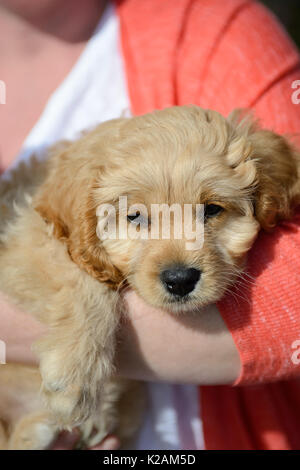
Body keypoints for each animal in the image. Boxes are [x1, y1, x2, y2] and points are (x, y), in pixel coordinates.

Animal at [0, 104, 298, 450]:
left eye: (211, 209)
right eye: (135, 216)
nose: (180, 279)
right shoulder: (24, 239)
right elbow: (80, 282)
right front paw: (74, 377)